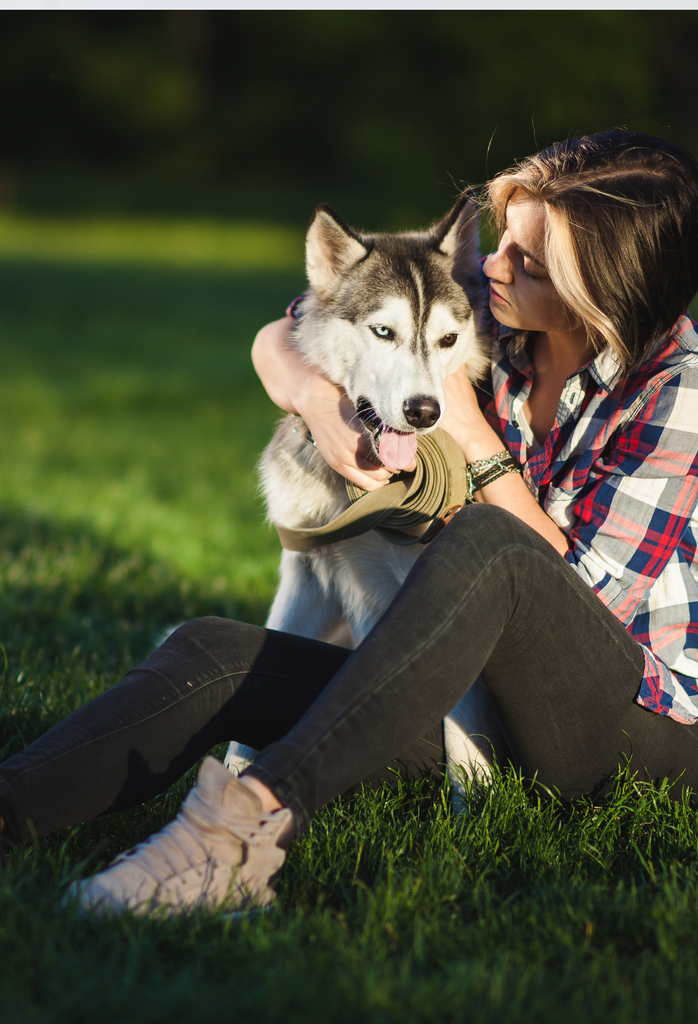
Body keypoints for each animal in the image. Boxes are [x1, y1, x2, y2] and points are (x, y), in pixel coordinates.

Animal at [225, 195, 507, 794]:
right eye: (383, 332)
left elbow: (465, 748)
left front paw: (474, 814)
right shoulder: (308, 575)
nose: (424, 411)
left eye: (448, 341)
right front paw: (235, 771)